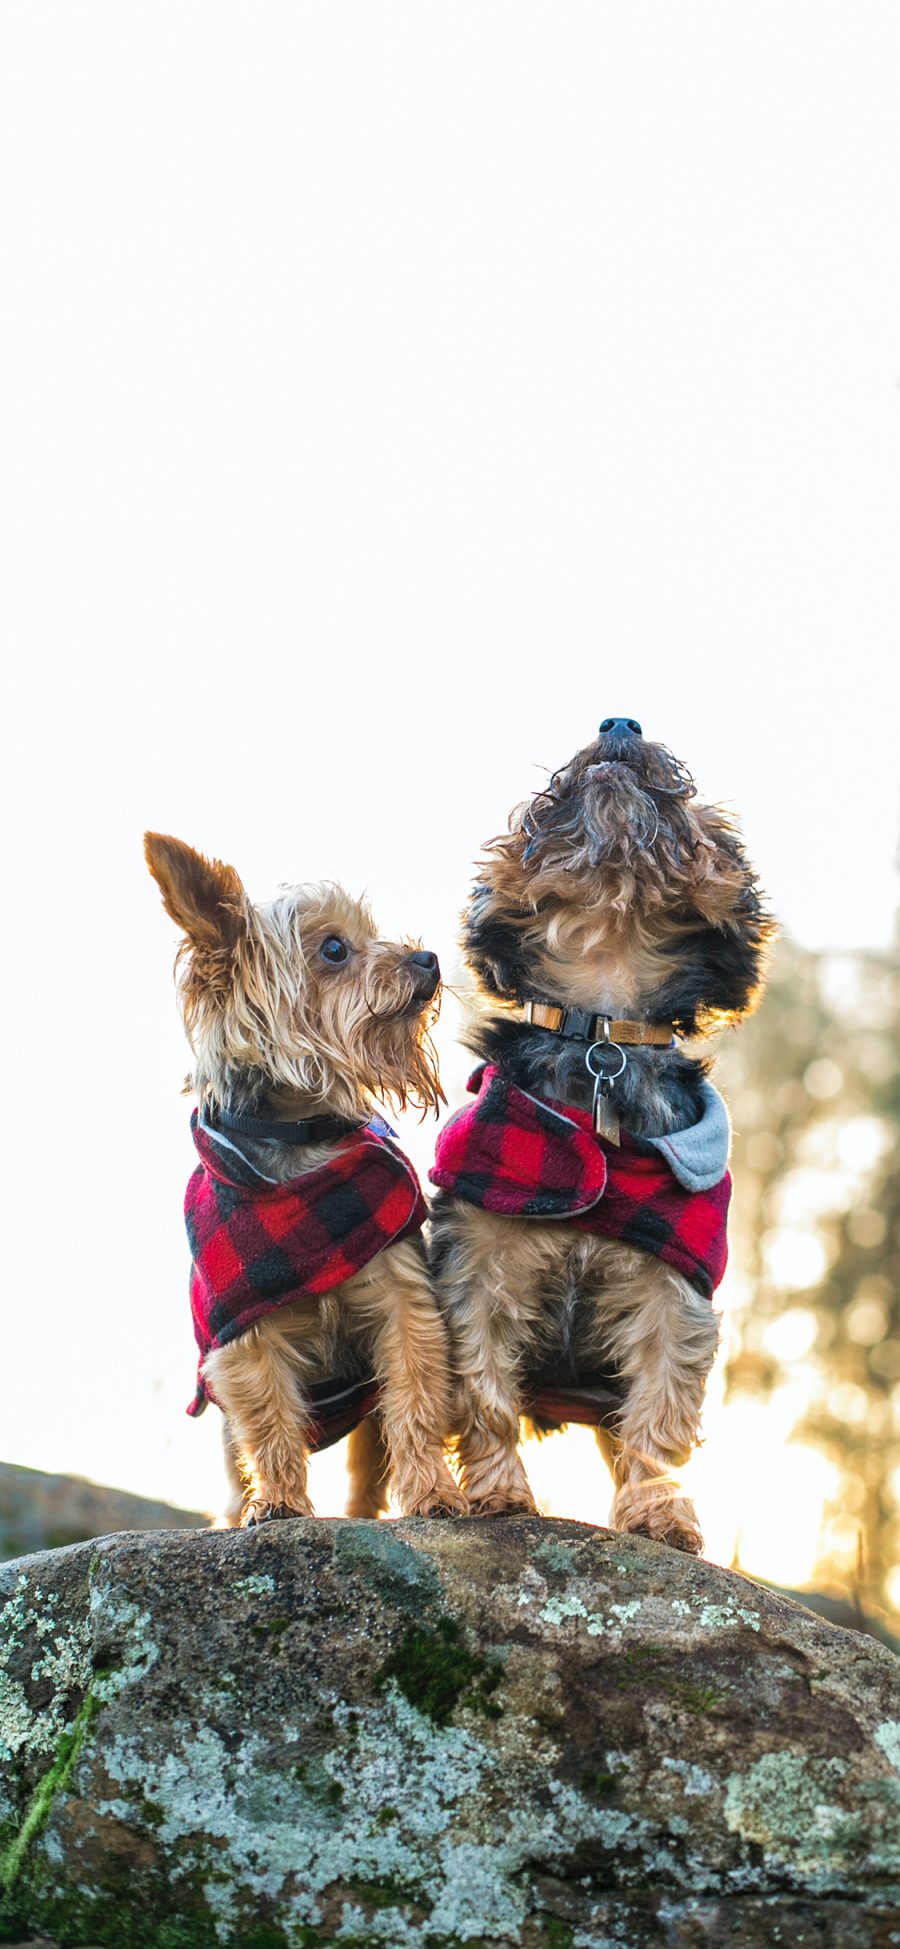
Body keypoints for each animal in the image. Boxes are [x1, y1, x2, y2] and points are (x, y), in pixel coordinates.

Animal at [146, 830, 463, 1528]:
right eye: (334, 949)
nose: (427, 958)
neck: (302, 1143)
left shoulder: (401, 1295)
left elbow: (415, 1398)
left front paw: (434, 1492)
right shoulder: (240, 1336)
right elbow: (267, 1421)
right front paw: (279, 1503)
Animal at [430, 717, 775, 1551]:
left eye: (689, 812)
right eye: (539, 812)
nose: (620, 723)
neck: (602, 1031)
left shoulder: (672, 1285)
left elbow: (659, 1412)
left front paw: (658, 1512)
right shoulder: (476, 1260)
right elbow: (483, 1389)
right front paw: (499, 1494)